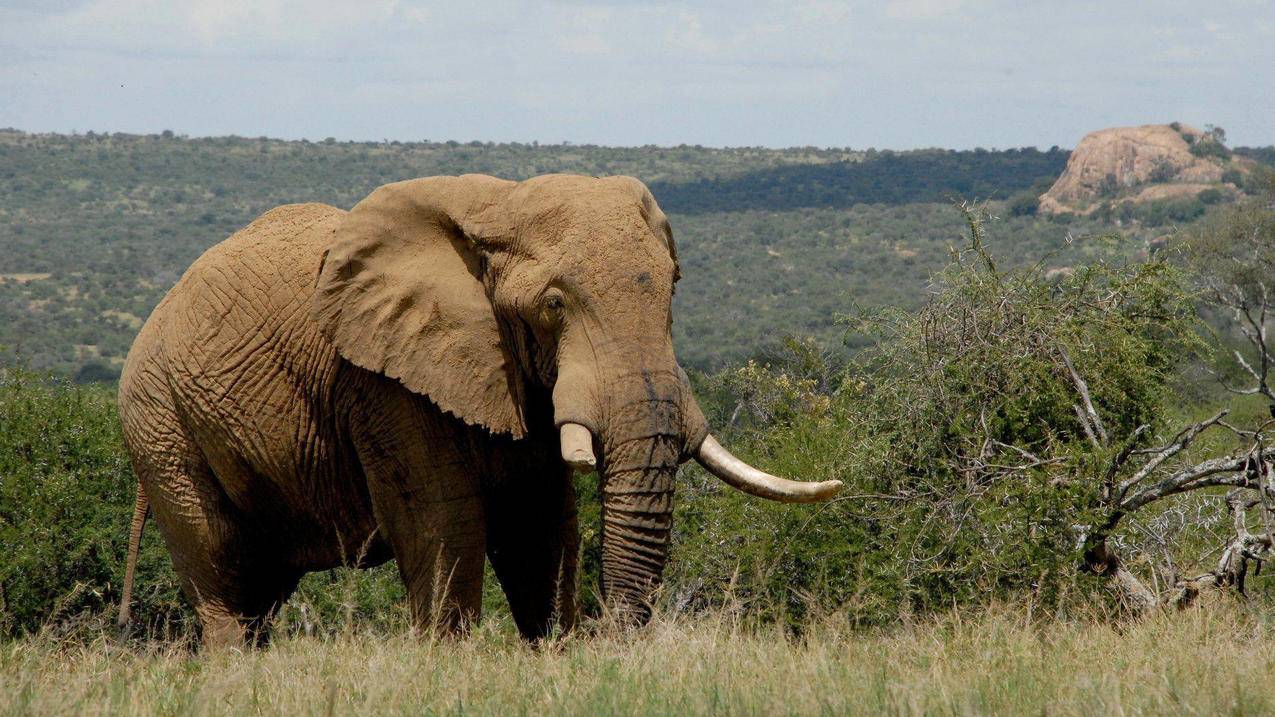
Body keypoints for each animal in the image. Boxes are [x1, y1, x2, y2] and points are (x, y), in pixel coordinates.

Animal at [117, 174, 836, 648]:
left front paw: (554, 654)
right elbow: (443, 523)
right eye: (553, 305)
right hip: (160, 424)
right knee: (221, 572)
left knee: (262, 591)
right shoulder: (383, 382)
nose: (614, 636)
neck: (498, 205)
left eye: (674, 288)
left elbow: (540, 523)